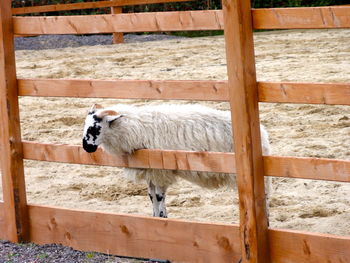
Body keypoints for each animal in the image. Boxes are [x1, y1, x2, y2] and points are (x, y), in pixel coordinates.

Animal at [82, 103, 270, 219]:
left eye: (94, 128)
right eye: (85, 125)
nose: (86, 147)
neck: (138, 128)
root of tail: (262, 130)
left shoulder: (160, 171)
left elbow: (159, 196)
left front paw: (162, 217)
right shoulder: (151, 171)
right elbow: (151, 196)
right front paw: (155, 217)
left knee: (264, 197)